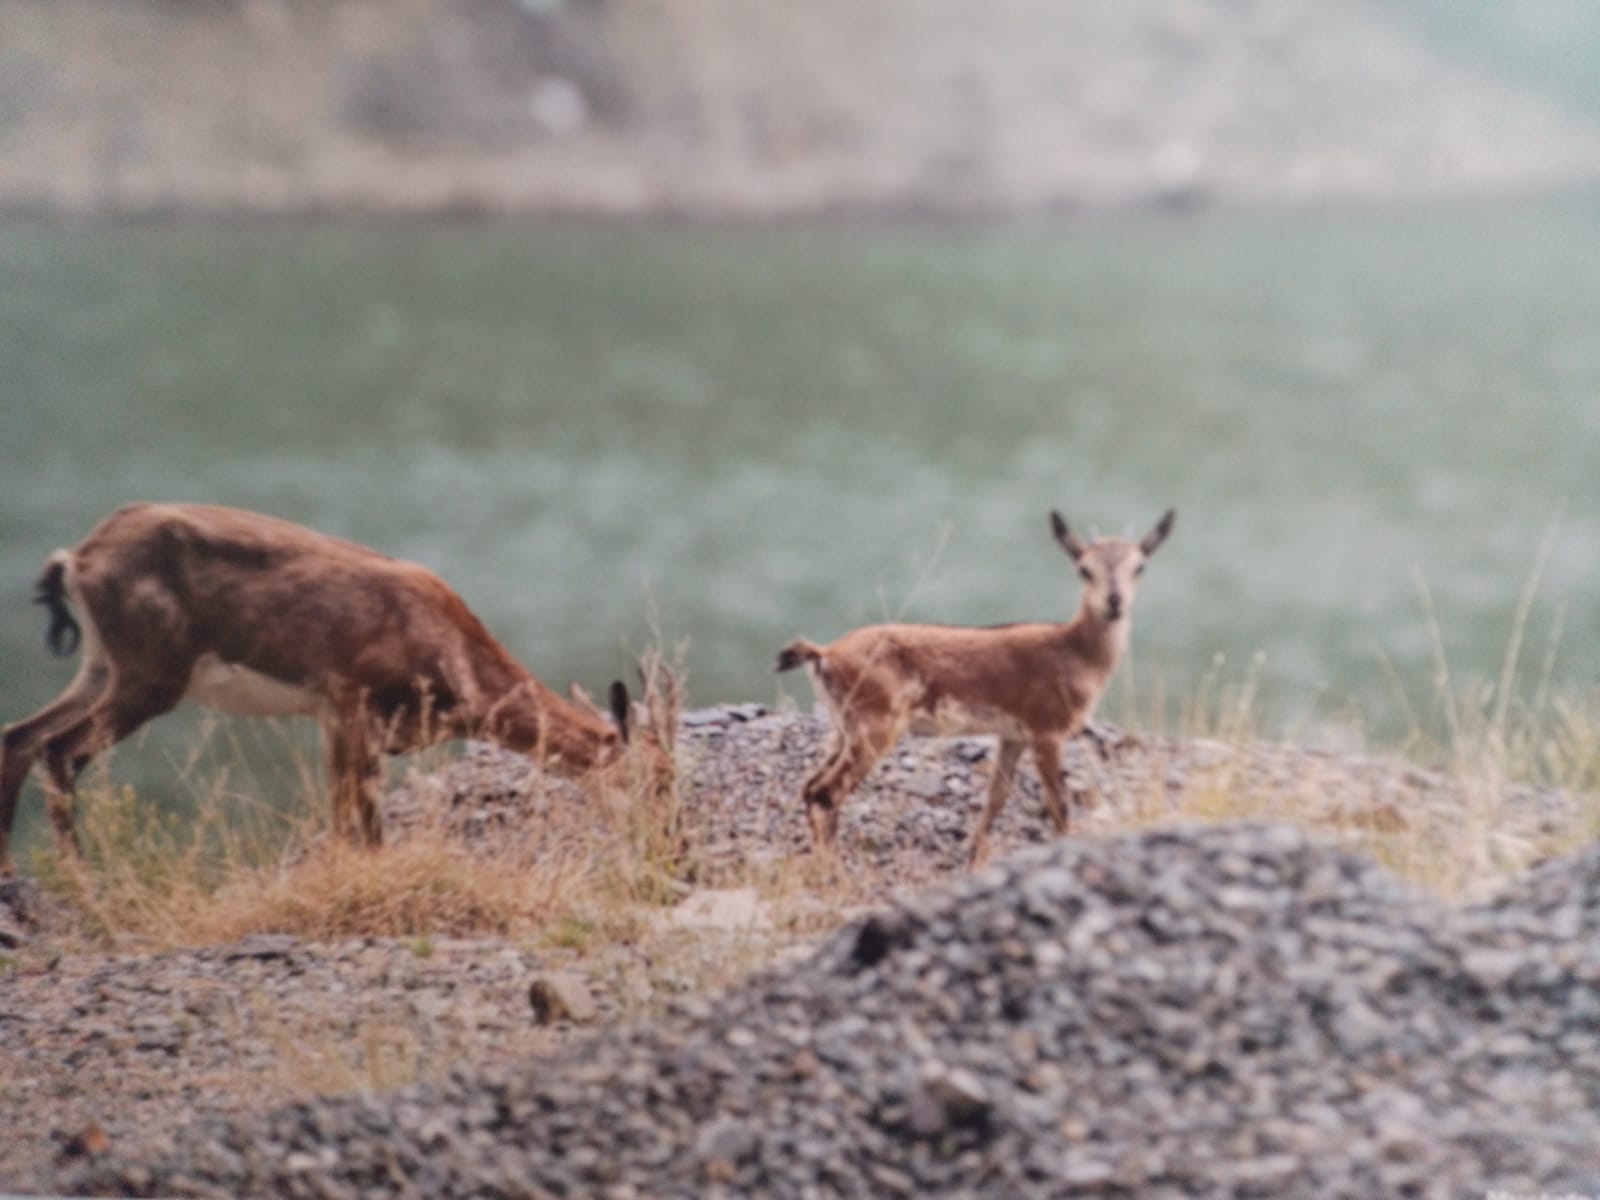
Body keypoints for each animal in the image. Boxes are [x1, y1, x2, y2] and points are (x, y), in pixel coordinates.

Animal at [0, 502, 675, 876]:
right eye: (655, 781)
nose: (673, 845)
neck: (453, 654)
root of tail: (76, 559)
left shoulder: (338, 722)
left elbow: (353, 825)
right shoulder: (351, 704)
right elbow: (362, 834)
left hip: (101, 668)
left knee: (20, 736)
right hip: (150, 677)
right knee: (61, 750)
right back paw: (84, 883)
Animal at [777, 505, 1177, 864]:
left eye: (1139, 567)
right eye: (1084, 568)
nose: (1114, 602)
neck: (1075, 652)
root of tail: (825, 653)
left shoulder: (1013, 735)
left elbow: (996, 795)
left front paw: (972, 856)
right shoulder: (1047, 730)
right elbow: (1057, 803)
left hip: (842, 729)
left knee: (810, 787)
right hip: (874, 726)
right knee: (826, 792)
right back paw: (833, 871)